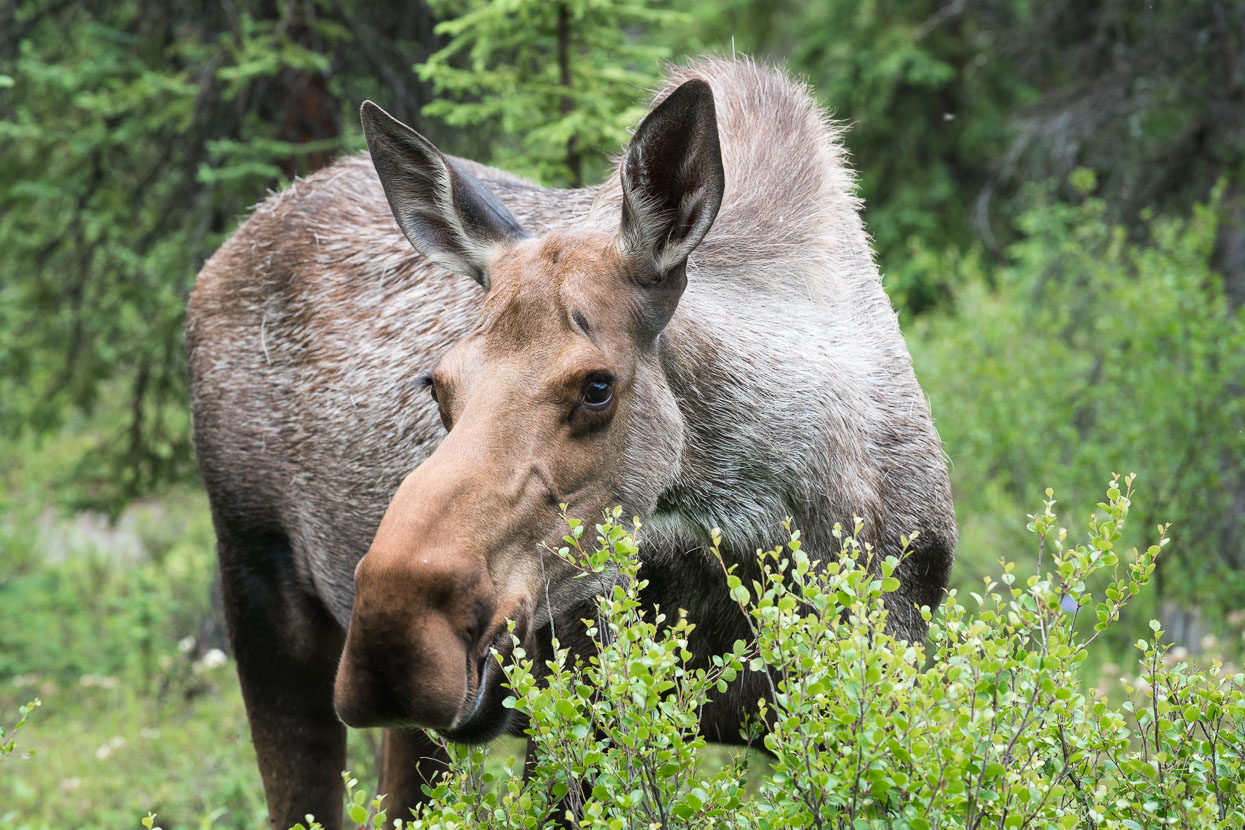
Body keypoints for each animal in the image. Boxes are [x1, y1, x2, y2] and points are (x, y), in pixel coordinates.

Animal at [189, 60, 956, 830]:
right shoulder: (585, 704)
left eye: (596, 386)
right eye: (437, 385)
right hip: (258, 588)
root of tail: (222, 254)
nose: (394, 636)